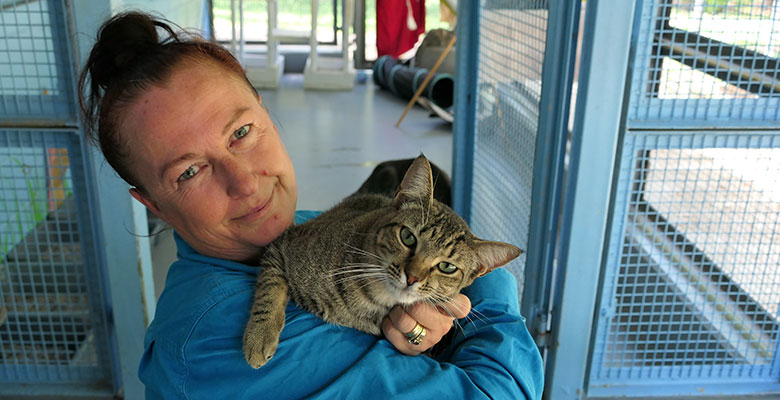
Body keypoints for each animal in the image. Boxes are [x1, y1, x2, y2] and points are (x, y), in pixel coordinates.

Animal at [242, 155, 524, 368]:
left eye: (447, 267)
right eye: (408, 237)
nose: (412, 277)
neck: (370, 300)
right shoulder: (283, 244)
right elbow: (270, 292)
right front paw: (260, 335)